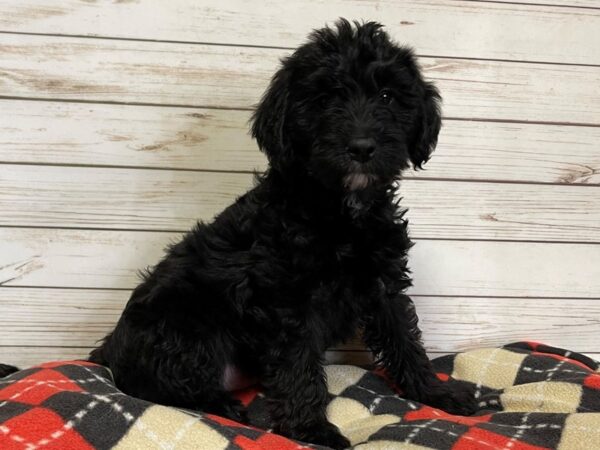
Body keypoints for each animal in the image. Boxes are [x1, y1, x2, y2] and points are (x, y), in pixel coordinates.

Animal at [90, 19, 474, 448]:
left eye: (388, 96)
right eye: (323, 100)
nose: (361, 147)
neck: (340, 209)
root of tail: (109, 352)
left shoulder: (383, 281)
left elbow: (405, 338)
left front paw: (437, 392)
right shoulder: (288, 299)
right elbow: (298, 365)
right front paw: (312, 428)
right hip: (184, 322)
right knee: (160, 386)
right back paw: (225, 407)